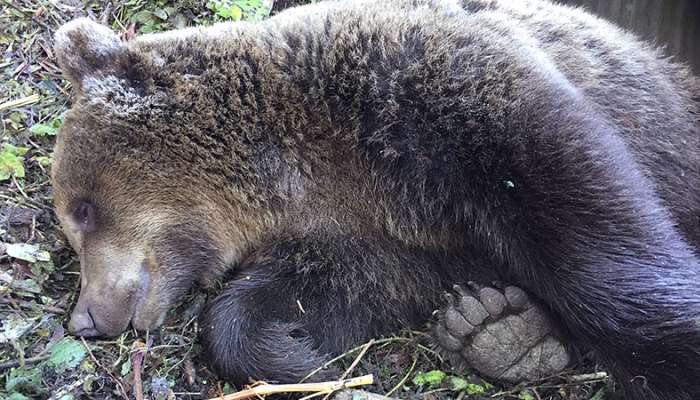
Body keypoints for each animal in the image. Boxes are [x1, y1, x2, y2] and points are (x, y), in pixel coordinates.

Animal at [52, 0, 700, 400]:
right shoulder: (361, 236)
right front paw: (300, 359)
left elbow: (582, 219)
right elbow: (330, 295)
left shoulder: (431, 94)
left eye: (83, 209)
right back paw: (496, 327)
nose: (86, 318)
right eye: (71, 221)